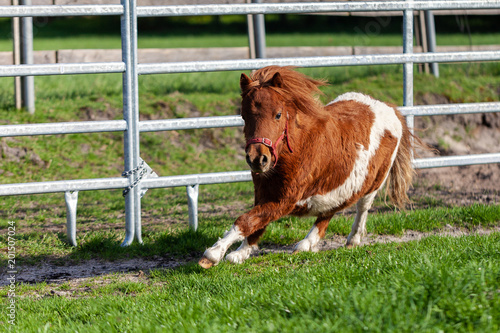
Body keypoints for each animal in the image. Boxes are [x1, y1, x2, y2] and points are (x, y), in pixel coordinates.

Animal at [199, 66, 418, 268]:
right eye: (244, 115)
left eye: (278, 115)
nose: (258, 159)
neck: (296, 149)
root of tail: (390, 109)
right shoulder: (263, 193)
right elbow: (256, 223)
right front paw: (241, 252)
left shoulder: (285, 200)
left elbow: (246, 221)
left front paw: (212, 254)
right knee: (330, 211)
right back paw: (307, 244)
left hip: (374, 181)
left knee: (362, 207)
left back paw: (352, 240)